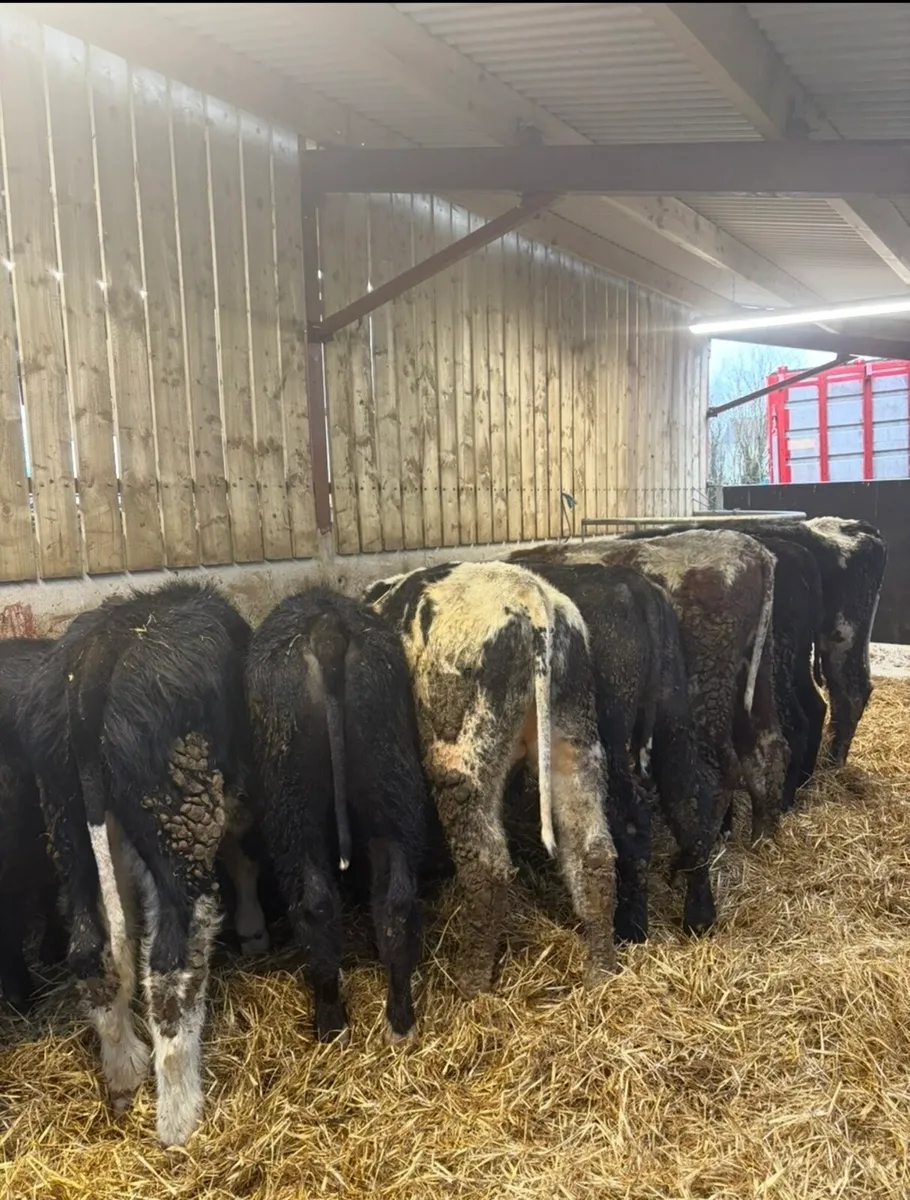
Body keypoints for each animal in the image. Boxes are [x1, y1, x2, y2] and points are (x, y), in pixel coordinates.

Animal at [18, 581, 267, 1147]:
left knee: (91, 952)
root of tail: (92, 662)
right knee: (171, 969)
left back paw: (124, 1072)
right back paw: (178, 1118)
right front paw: (254, 928)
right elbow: (243, 856)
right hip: (180, 818)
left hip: (66, 823)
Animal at [246, 586, 429, 1045]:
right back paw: (400, 1021)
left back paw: (330, 1021)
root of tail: (327, 630)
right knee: (397, 901)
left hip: (292, 804)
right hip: (391, 780)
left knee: (314, 900)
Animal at [363, 561, 617, 997]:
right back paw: (600, 972)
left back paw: (469, 982)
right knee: (594, 853)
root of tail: (531, 596)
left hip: (461, 753)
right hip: (575, 736)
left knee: (488, 869)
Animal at [510, 531, 788, 849]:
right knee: (765, 749)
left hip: (707, 686)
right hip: (754, 673)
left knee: (716, 773)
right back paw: (762, 838)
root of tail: (755, 552)